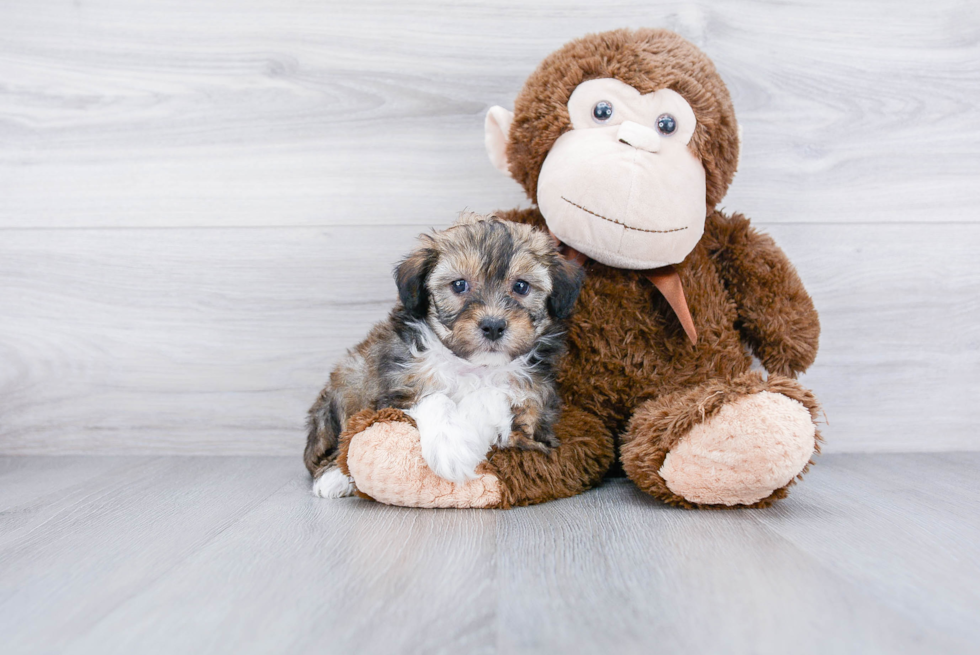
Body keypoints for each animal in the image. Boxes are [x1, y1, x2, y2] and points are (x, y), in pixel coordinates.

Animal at [306, 213, 580, 500]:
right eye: (459, 285)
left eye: (521, 286)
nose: (493, 325)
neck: (474, 365)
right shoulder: (399, 387)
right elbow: (434, 397)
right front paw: (450, 448)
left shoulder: (535, 408)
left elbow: (498, 398)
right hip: (350, 378)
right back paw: (333, 476)